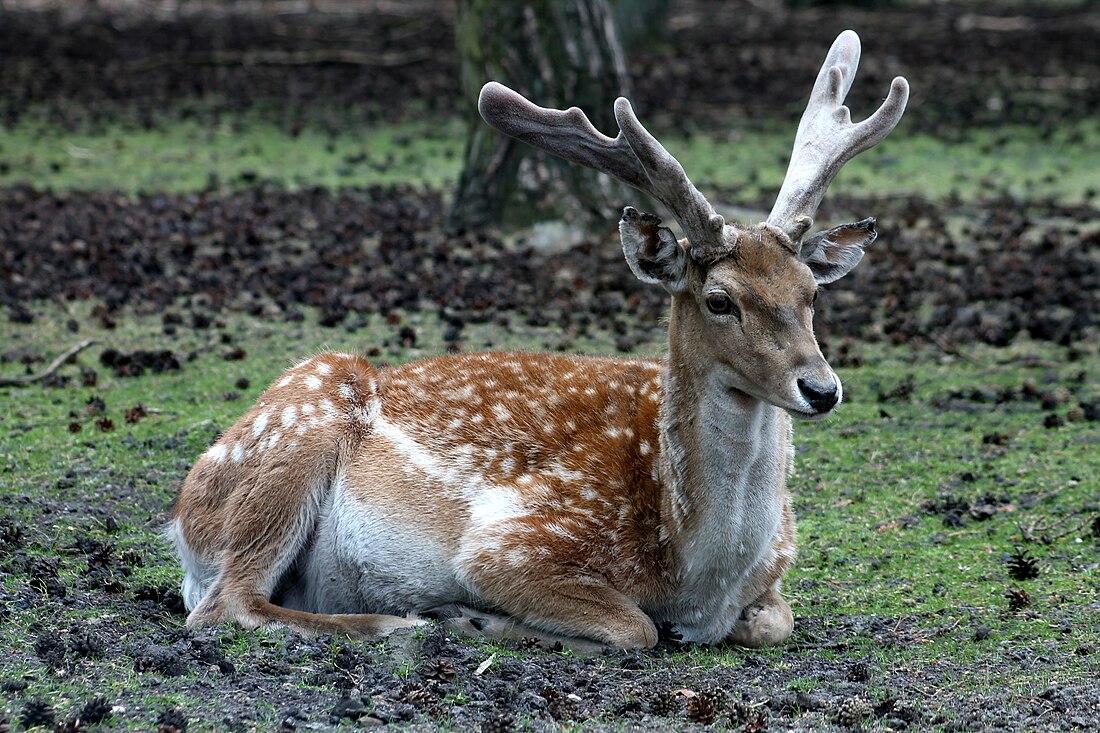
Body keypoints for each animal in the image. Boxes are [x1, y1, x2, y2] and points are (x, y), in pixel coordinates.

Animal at [169, 31, 910, 647]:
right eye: (719, 299)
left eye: (811, 293)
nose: (821, 388)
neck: (698, 575)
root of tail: (180, 519)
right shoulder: (513, 540)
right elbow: (634, 626)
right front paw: (477, 617)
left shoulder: (776, 576)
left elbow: (774, 624)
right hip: (296, 437)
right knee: (223, 605)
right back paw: (396, 622)